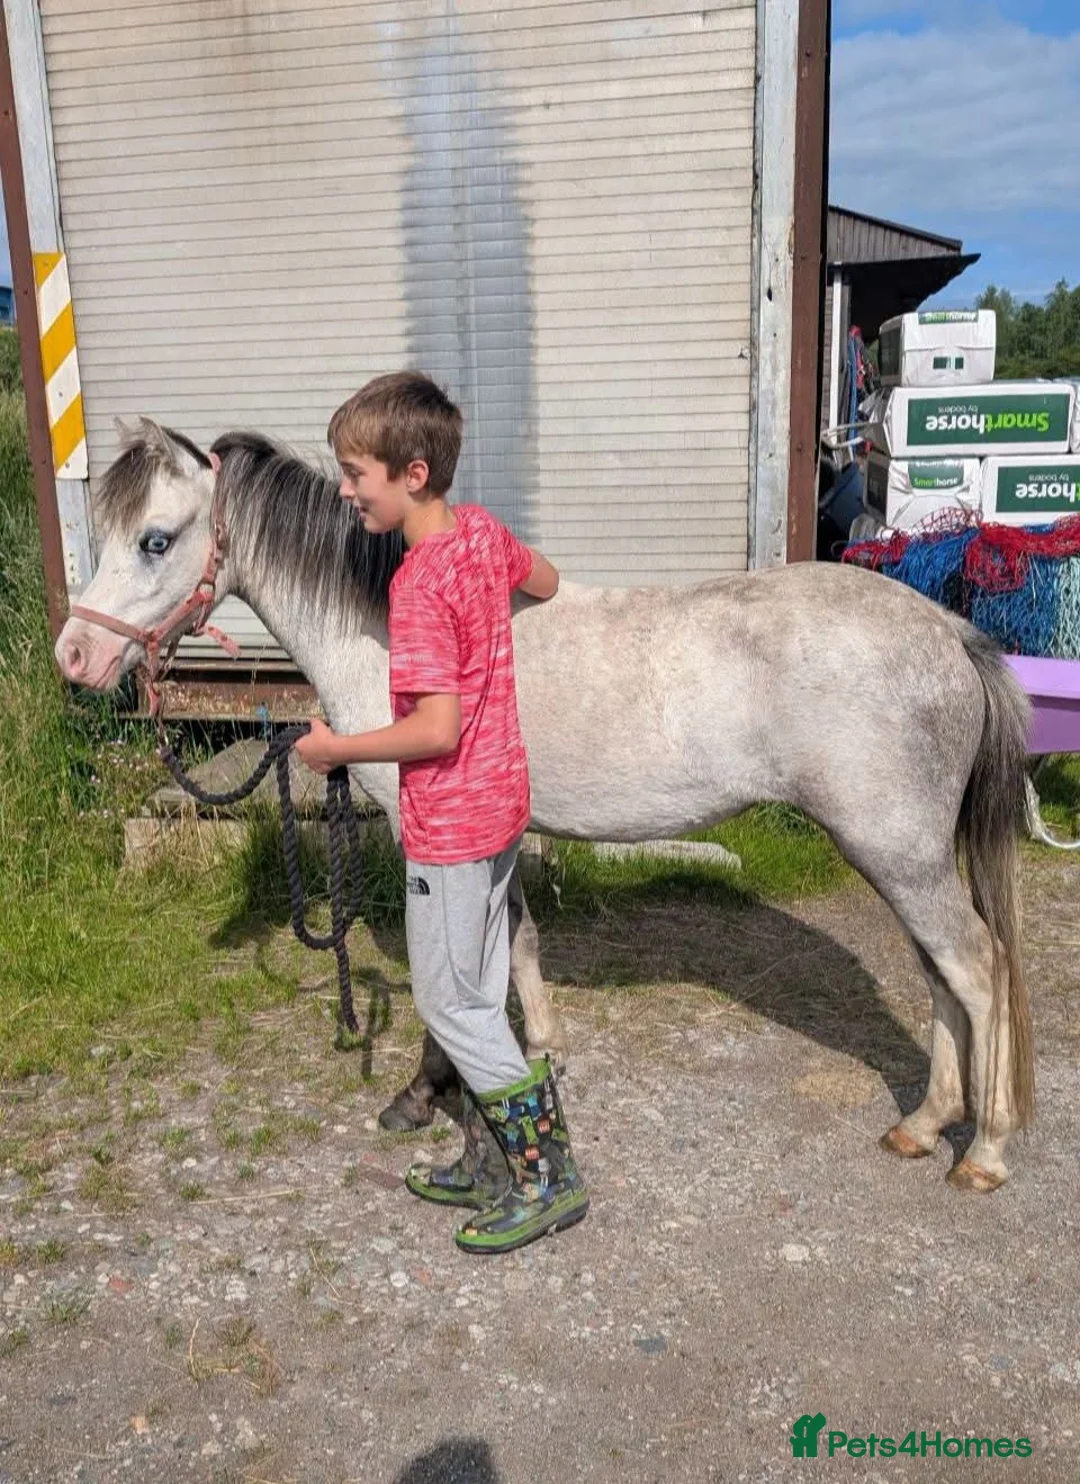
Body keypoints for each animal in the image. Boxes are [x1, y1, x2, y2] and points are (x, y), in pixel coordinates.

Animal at [55, 420, 1035, 1192]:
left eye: (154, 539)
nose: (75, 658)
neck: (384, 628)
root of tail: (949, 632)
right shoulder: (490, 842)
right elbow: (513, 951)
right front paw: (539, 1048)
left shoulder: (430, 838)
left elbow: (453, 975)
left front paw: (423, 1093)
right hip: (903, 856)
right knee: (941, 974)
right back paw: (922, 1125)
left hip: (897, 851)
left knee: (975, 968)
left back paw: (984, 1151)